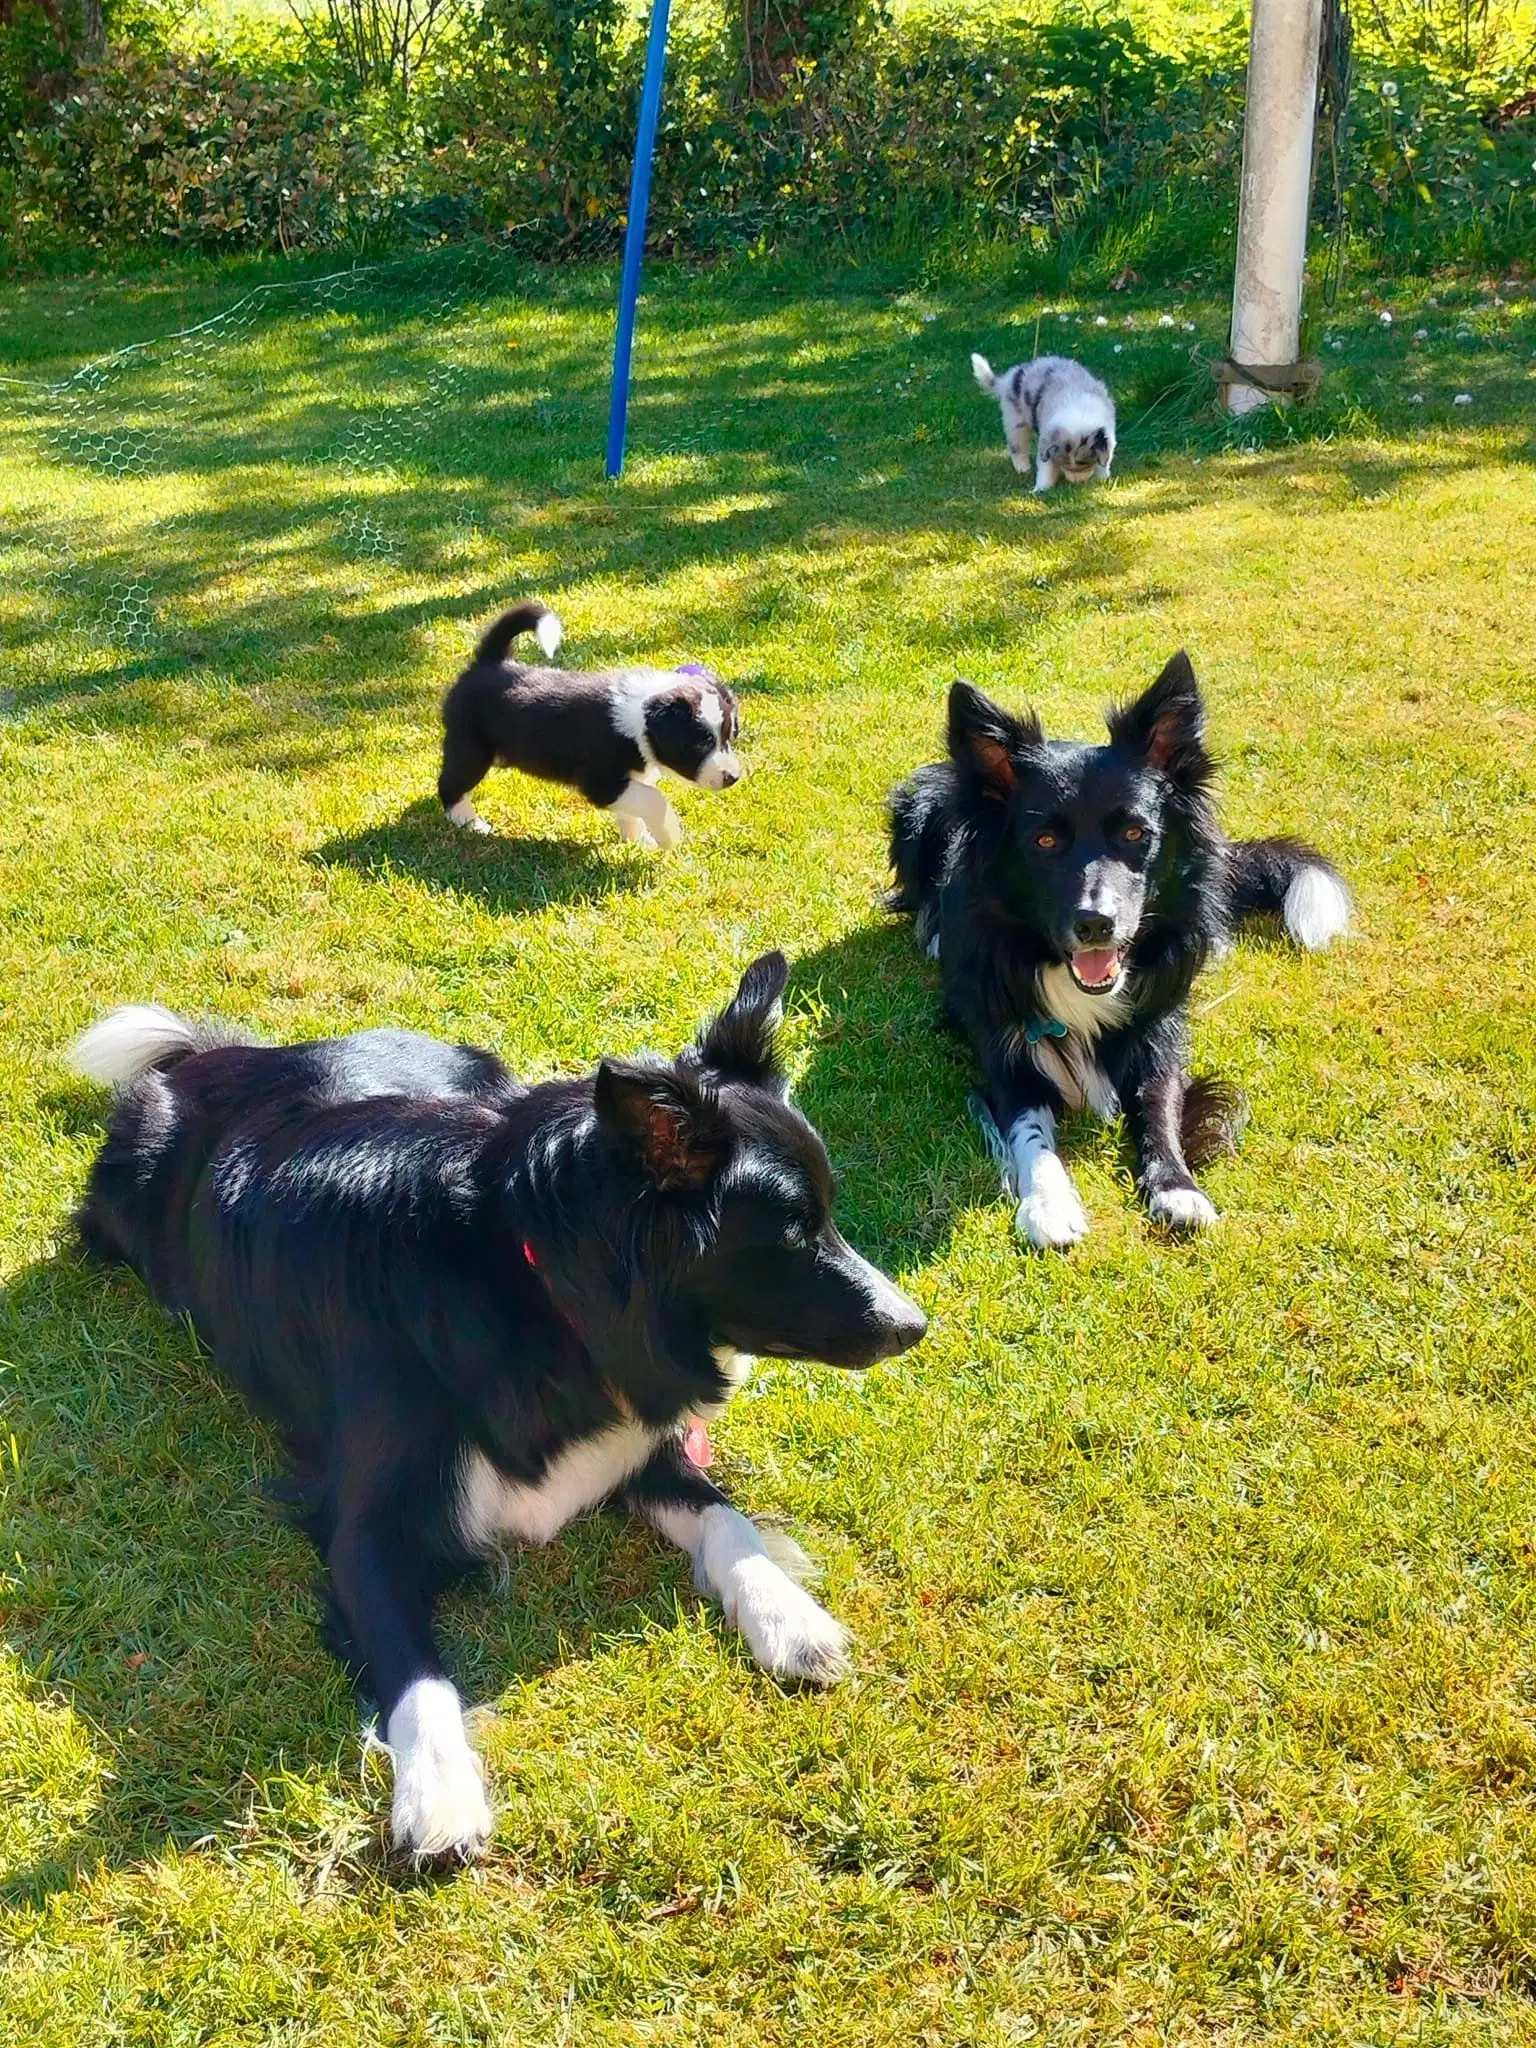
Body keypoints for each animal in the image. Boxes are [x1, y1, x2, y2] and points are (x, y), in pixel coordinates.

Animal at [69, 954, 925, 1859]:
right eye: (793, 1236)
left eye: (826, 1217)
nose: (916, 1325)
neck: (538, 1284)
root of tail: (224, 1058)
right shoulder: (366, 1532)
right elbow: (417, 1669)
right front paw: (438, 1794)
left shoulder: (630, 1441)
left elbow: (729, 1519)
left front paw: (790, 1618)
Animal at [436, 598, 749, 847]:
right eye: (701, 742)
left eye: (729, 737)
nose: (733, 777)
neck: (637, 720)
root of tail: (491, 662)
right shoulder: (601, 782)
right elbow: (654, 800)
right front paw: (668, 836)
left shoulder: (629, 780)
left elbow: (633, 811)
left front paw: (638, 843)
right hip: (471, 749)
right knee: (450, 785)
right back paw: (470, 823)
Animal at [884, 655, 1351, 1245]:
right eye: (1044, 841)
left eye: (1135, 833)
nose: (1096, 924)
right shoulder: (1002, 1043)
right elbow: (1028, 1127)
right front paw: (1049, 1203)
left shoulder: (1159, 1028)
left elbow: (1159, 1103)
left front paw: (1177, 1187)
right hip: (914, 807)